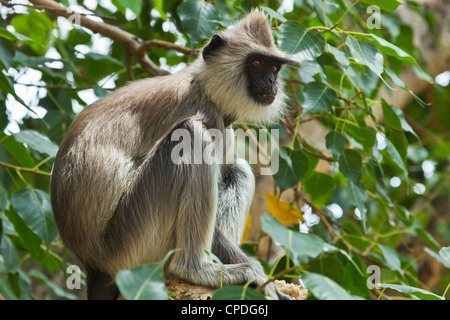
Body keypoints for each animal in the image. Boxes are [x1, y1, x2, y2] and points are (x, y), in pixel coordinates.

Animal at [50, 9, 298, 300]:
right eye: (257, 63)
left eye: (274, 68)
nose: (271, 82)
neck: (202, 86)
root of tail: (94, 265)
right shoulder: (204, 111)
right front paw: (263, 279)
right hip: (131, 242)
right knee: (190, 135)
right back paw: (196, 269)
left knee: (237, 169)